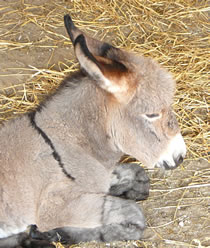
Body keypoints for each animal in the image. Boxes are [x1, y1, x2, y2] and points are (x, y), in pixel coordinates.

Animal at [0, 14, 187, 247]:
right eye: (151, 114)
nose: (180, 156)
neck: (67, 142)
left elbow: (138, 174)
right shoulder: (54, 207)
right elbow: (135, 216)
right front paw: (60, 233)